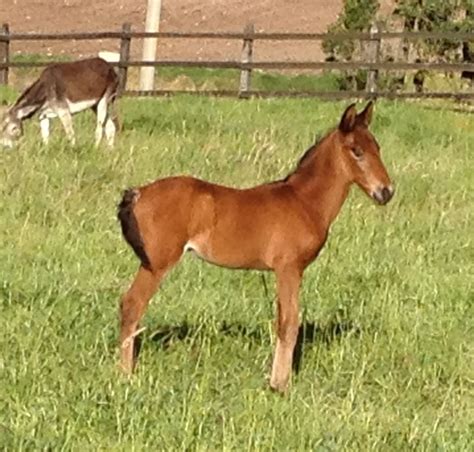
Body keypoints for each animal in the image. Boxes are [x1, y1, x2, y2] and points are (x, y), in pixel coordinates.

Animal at [117, 102, 392, 392]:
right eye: (357, 151)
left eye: (377, 147)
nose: (386, 192)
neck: (304, 201)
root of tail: (138, 193)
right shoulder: (288, 268)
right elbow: (289, 322)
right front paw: (279, 385)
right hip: (157, 264)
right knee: (132, 304)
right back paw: (126, 375)